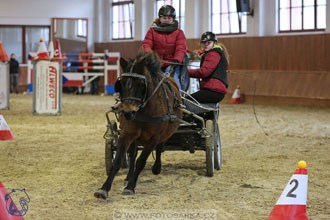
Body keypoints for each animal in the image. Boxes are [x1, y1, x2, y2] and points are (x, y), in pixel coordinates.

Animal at [94, 50, 183, 199]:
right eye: (122, 83)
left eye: (141, 84)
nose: (128, 112)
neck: (144, 111)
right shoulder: (127, 134)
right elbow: (118, 160)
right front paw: (104, 189)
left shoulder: (154, 138)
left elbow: (141, 161)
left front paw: (130, 187)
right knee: (133, 153)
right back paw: (129, 176)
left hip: (164, 133)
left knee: (159, 148)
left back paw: (156, 168)